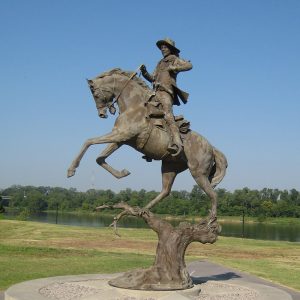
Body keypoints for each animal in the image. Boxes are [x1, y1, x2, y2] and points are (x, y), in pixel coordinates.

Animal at [68, 69, 227, 221]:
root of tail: (211, 148)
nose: (102, 114)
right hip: (170, 167)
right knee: (165, 191)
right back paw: (143, 209)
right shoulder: (121, 139)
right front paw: (122, 173)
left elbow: (88, 141)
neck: (134, 106)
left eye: (95, 93)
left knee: (213, 194)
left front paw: (71, 170)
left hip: (198, 173)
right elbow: (99, 158)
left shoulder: (121, 134)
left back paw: (210, 219)